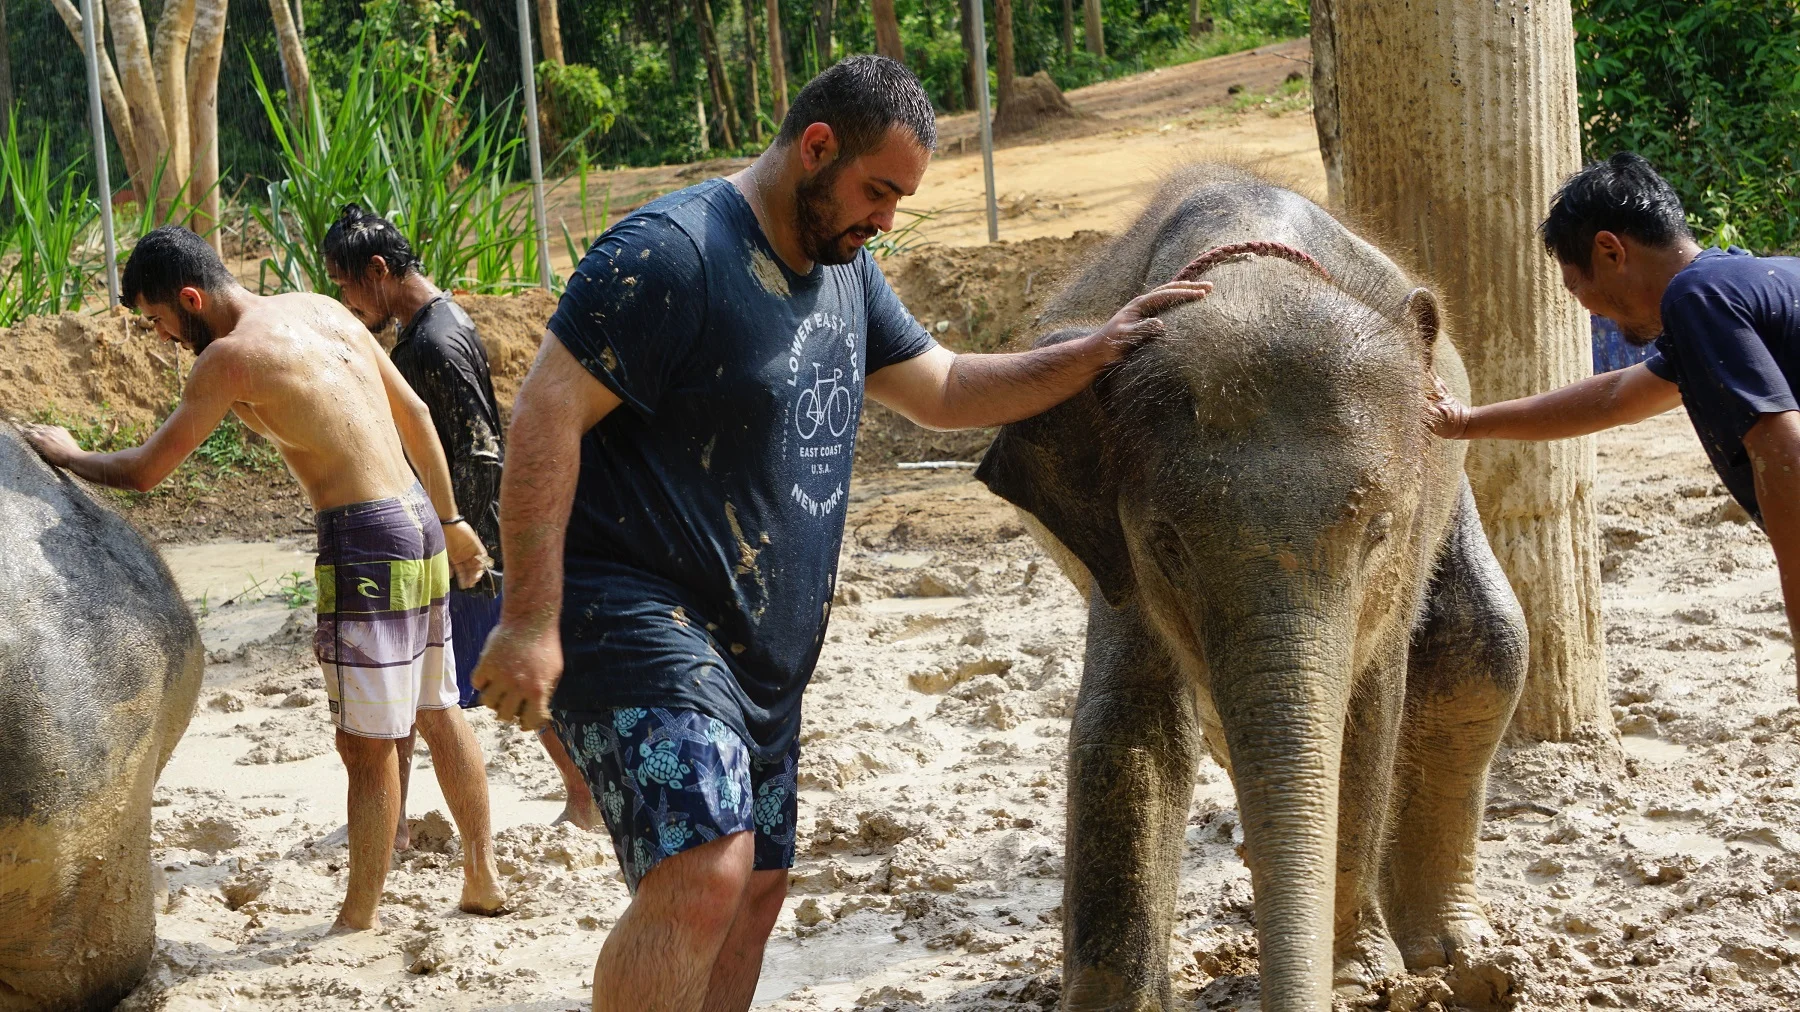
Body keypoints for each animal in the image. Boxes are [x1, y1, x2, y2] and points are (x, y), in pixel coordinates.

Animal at [976, 165, 1529, 1011]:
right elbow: (1131, 723)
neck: (1250, 272)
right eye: (1167, 545)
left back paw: (1455, 957)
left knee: (1486, 642)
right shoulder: (1116, 546)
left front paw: (1357, 975)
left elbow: (1365, 710)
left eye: (1379, 531)